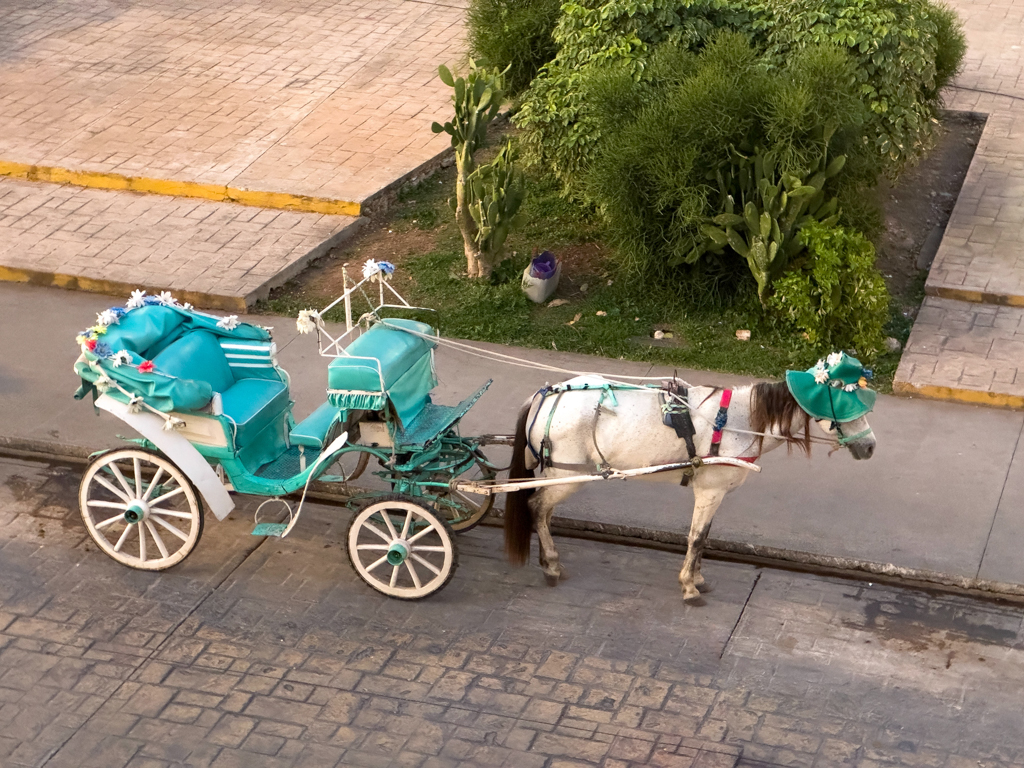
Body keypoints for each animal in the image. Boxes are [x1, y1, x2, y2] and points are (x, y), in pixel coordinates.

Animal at [499, 376, 876, 606]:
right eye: (846, 407)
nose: (871, 447)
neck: (738, 420)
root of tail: (542, 399)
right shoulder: (710, 491)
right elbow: (696, 538)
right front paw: (689, 586)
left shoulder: (714, 493)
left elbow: (704, 537)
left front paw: (698, 577)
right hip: (566, 476)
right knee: (537, 507)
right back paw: (550, 565)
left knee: (543, 511)